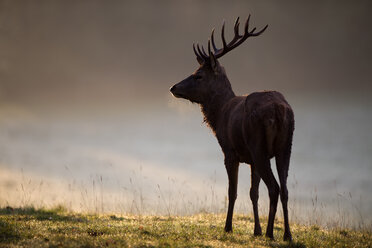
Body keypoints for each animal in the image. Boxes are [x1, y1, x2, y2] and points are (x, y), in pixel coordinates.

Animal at [170, 16, 294, 242]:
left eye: (198, 75)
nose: (173, 87)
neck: (220, 114)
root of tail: (279, 110)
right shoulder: (251, 160)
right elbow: (253, 193)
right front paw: (256, 230)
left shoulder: (230, 151)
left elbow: (232, 191)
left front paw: (228, 227)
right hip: (286, 146)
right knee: (285, 189)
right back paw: (287, 235)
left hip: (259, 146)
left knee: (274, 187)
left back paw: (271, 233)